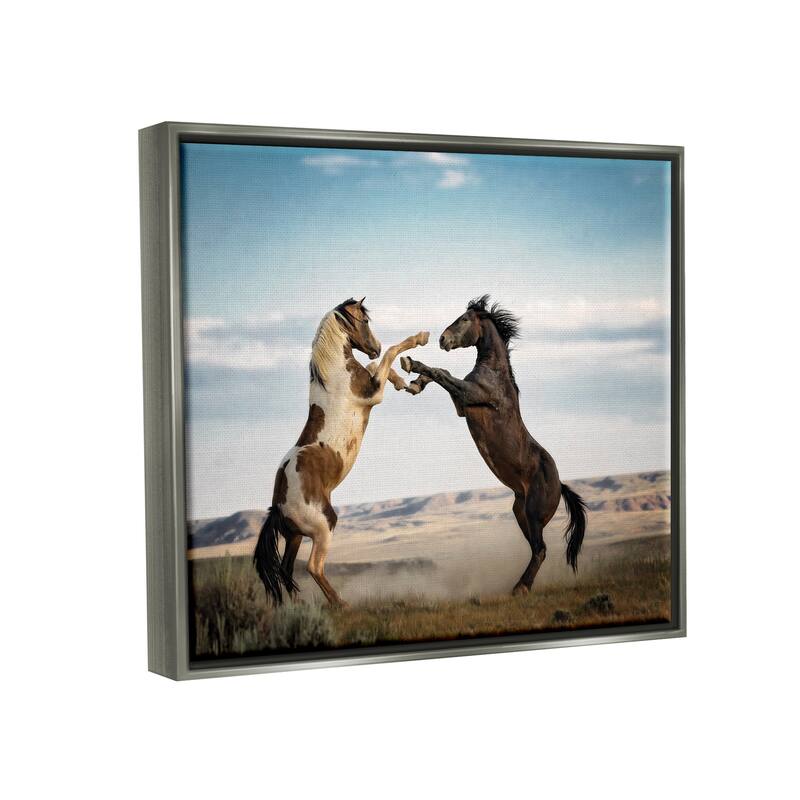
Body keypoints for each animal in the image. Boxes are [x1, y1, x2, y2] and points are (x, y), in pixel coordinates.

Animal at [254, 297, 429, 606]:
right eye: (365, 321)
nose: (375, 345)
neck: (336, 375)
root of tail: (278, 507)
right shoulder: (373, 394)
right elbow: (390, 354)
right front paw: (419, 338)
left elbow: (376, 363)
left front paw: (404, 383)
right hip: (324, 525)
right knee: (313, 567)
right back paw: (340, 603)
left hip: (295, 537)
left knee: (287, 570)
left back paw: (299, 608)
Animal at [400, 295, 587, 596]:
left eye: (464, 319)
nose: (442, 339)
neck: (494, 374)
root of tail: (560, 485)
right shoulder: (462, 405)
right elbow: (442, 374)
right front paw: (416, 384)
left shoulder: (469, 394)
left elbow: (442, 372)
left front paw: (410, 363)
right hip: (520, 512)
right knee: (536, 549)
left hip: (534, 513)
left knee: (541, 549)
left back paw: (520, 588)